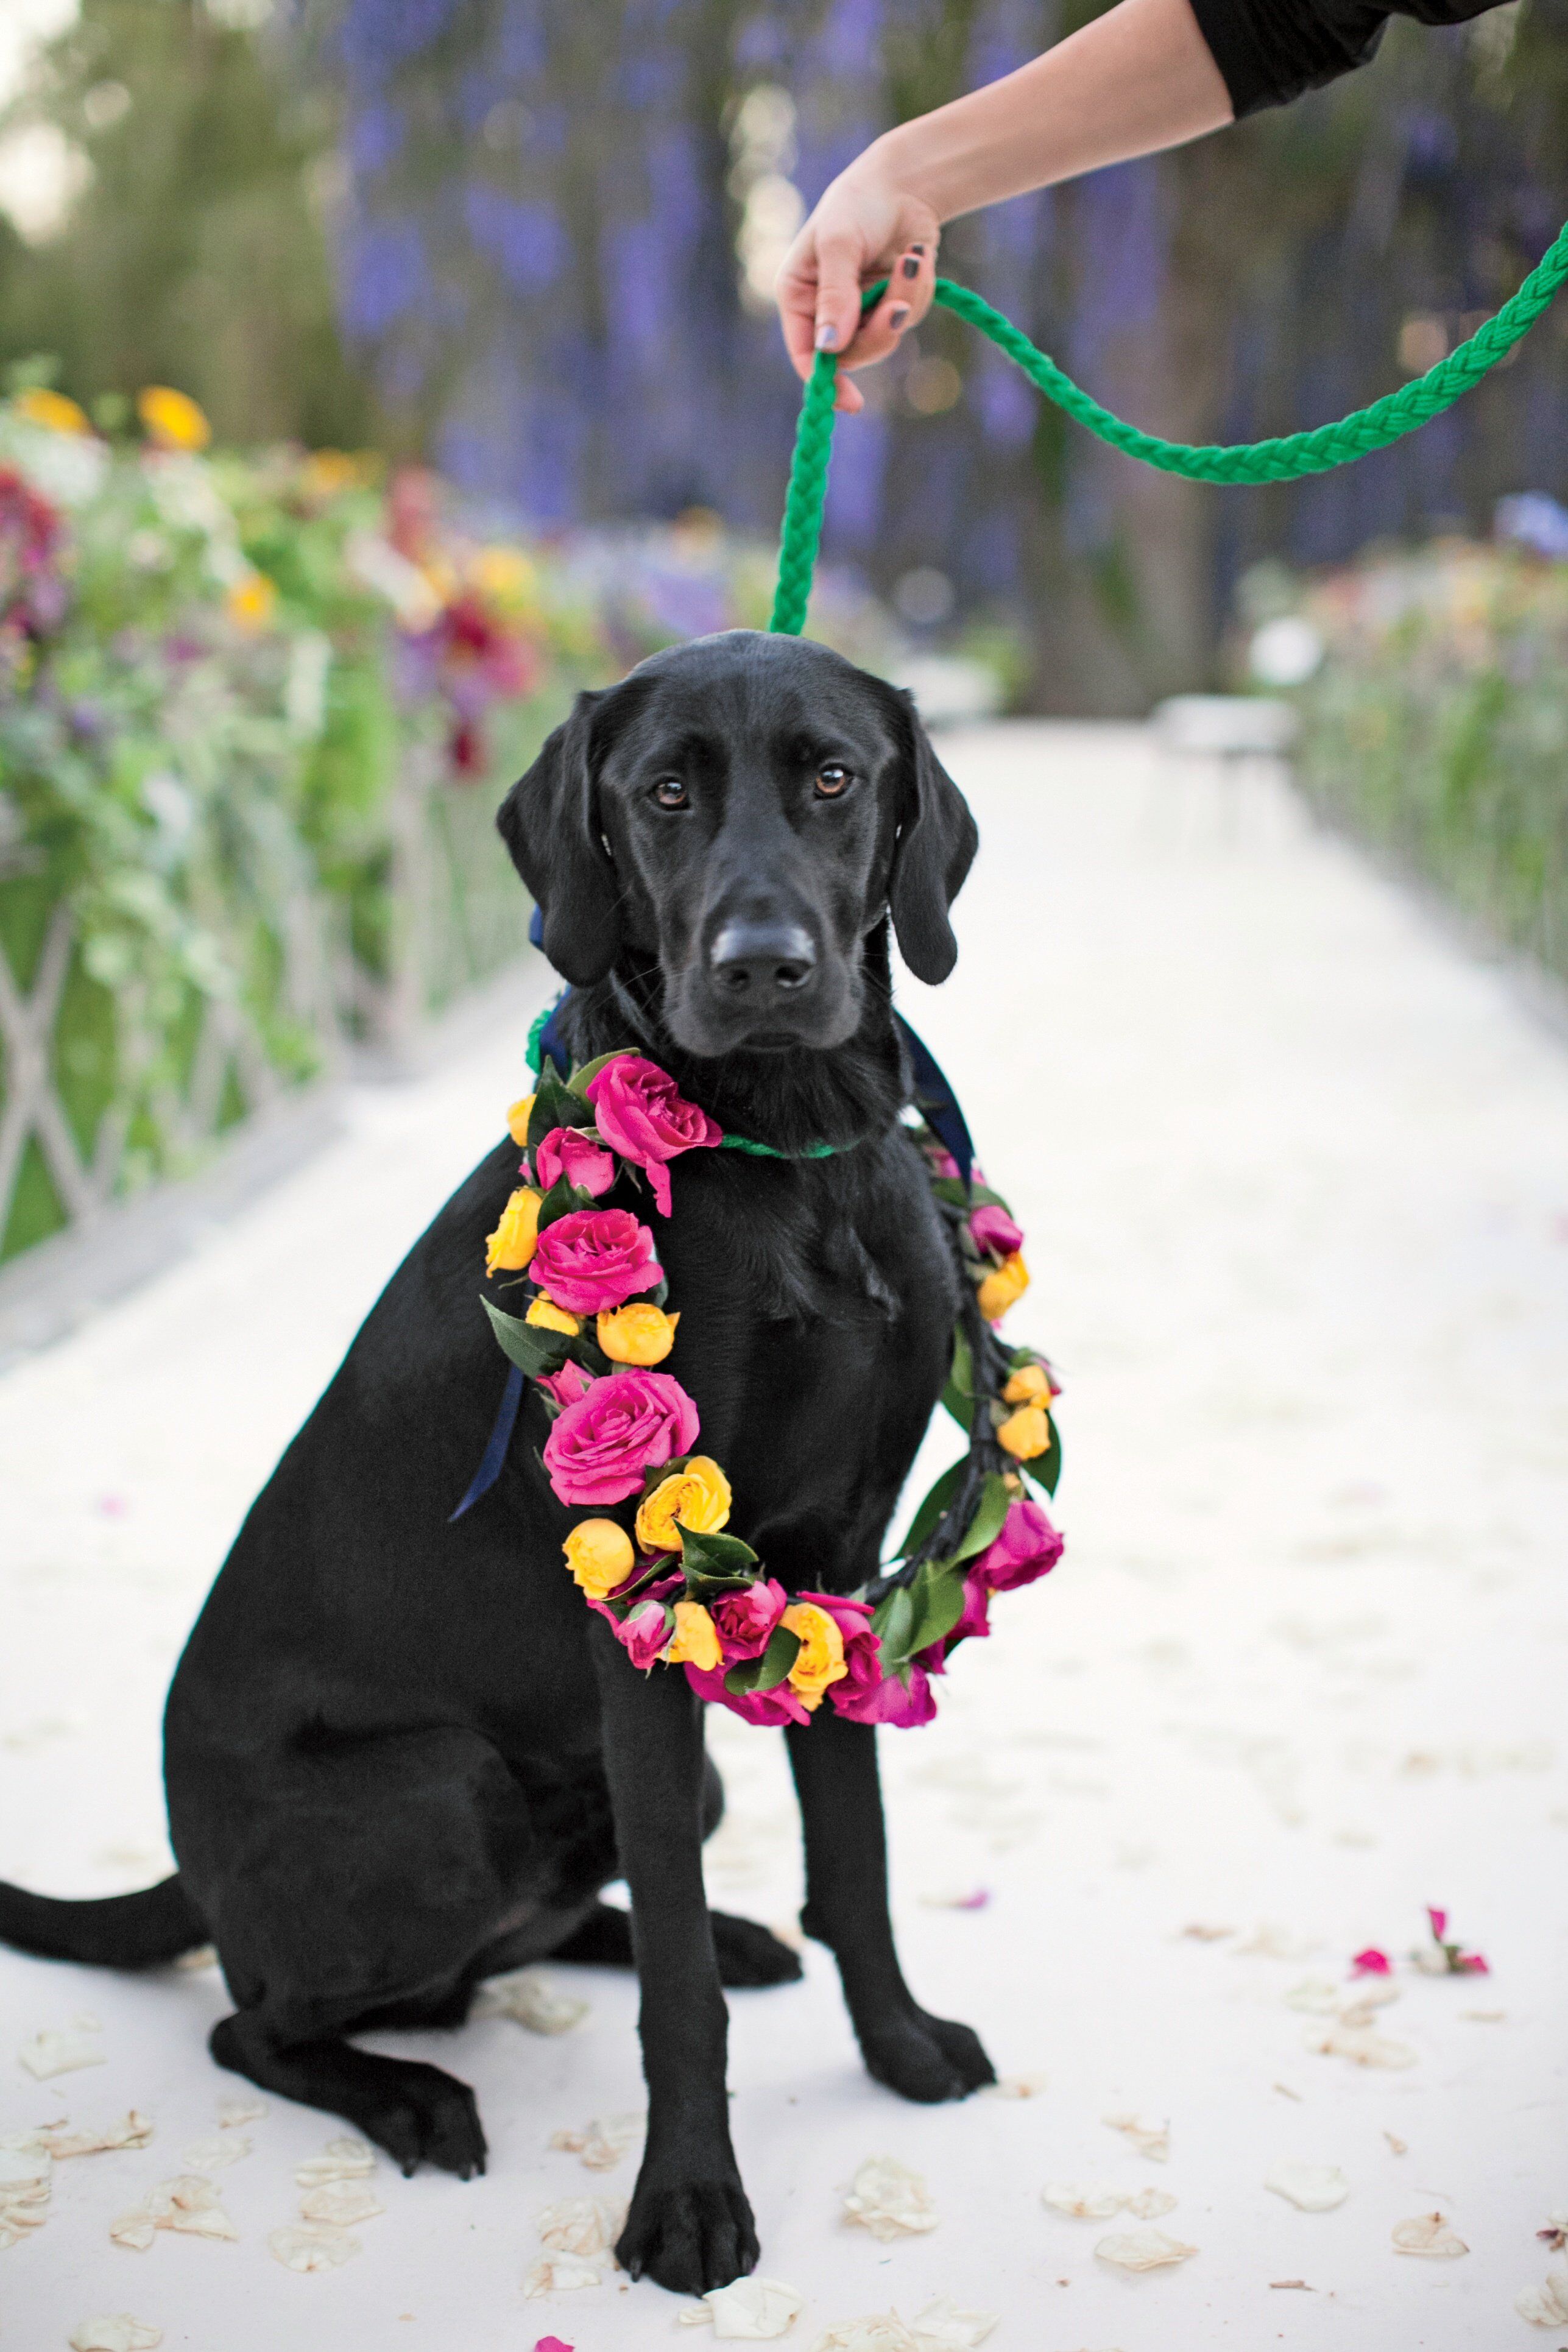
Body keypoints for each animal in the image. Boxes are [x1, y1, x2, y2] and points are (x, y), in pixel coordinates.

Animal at [0, 630, 992, 2295]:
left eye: (833, 776)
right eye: (663, 793)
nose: (763, 967)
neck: (781, 1151)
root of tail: (192, 1871)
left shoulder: (837, 1568)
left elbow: (850, 1859)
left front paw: (899, 2045)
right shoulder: (643, 1604)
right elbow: (674, 1992)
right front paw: (686, 2203)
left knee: (557, 1918)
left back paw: (726, 1936)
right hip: (446, 1794)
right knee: (256, 2019)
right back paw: (411, 2095)